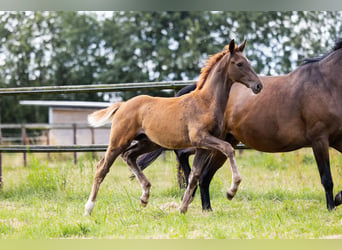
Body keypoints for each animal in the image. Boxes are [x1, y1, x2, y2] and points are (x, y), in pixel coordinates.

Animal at [85, 40, 262, 216]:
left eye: (249, 62)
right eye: (239, 64)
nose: (258, 86)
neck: (206, 102)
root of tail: (122, 105)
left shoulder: (202, 146)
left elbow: (194, 175)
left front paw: (182, 208)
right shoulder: (201, 138)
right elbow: (228, 149)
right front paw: (232, 191)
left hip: (148, 143)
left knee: (129, 156)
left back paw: (145, 196)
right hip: (119, 141)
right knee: (102, 168)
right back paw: (88, 209)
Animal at [124, 38, 342, 212]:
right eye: (239, 64)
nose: (258, 86)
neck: (326, 83)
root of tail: (195, 89)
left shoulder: (337, 139)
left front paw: (338, 199)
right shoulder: (319, 139)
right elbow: (326, 178)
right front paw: (331, 207)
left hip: (222, 143)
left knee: (203, 175)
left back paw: (206, 207)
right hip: (212, 142)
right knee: (186, 157)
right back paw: (193, 196)